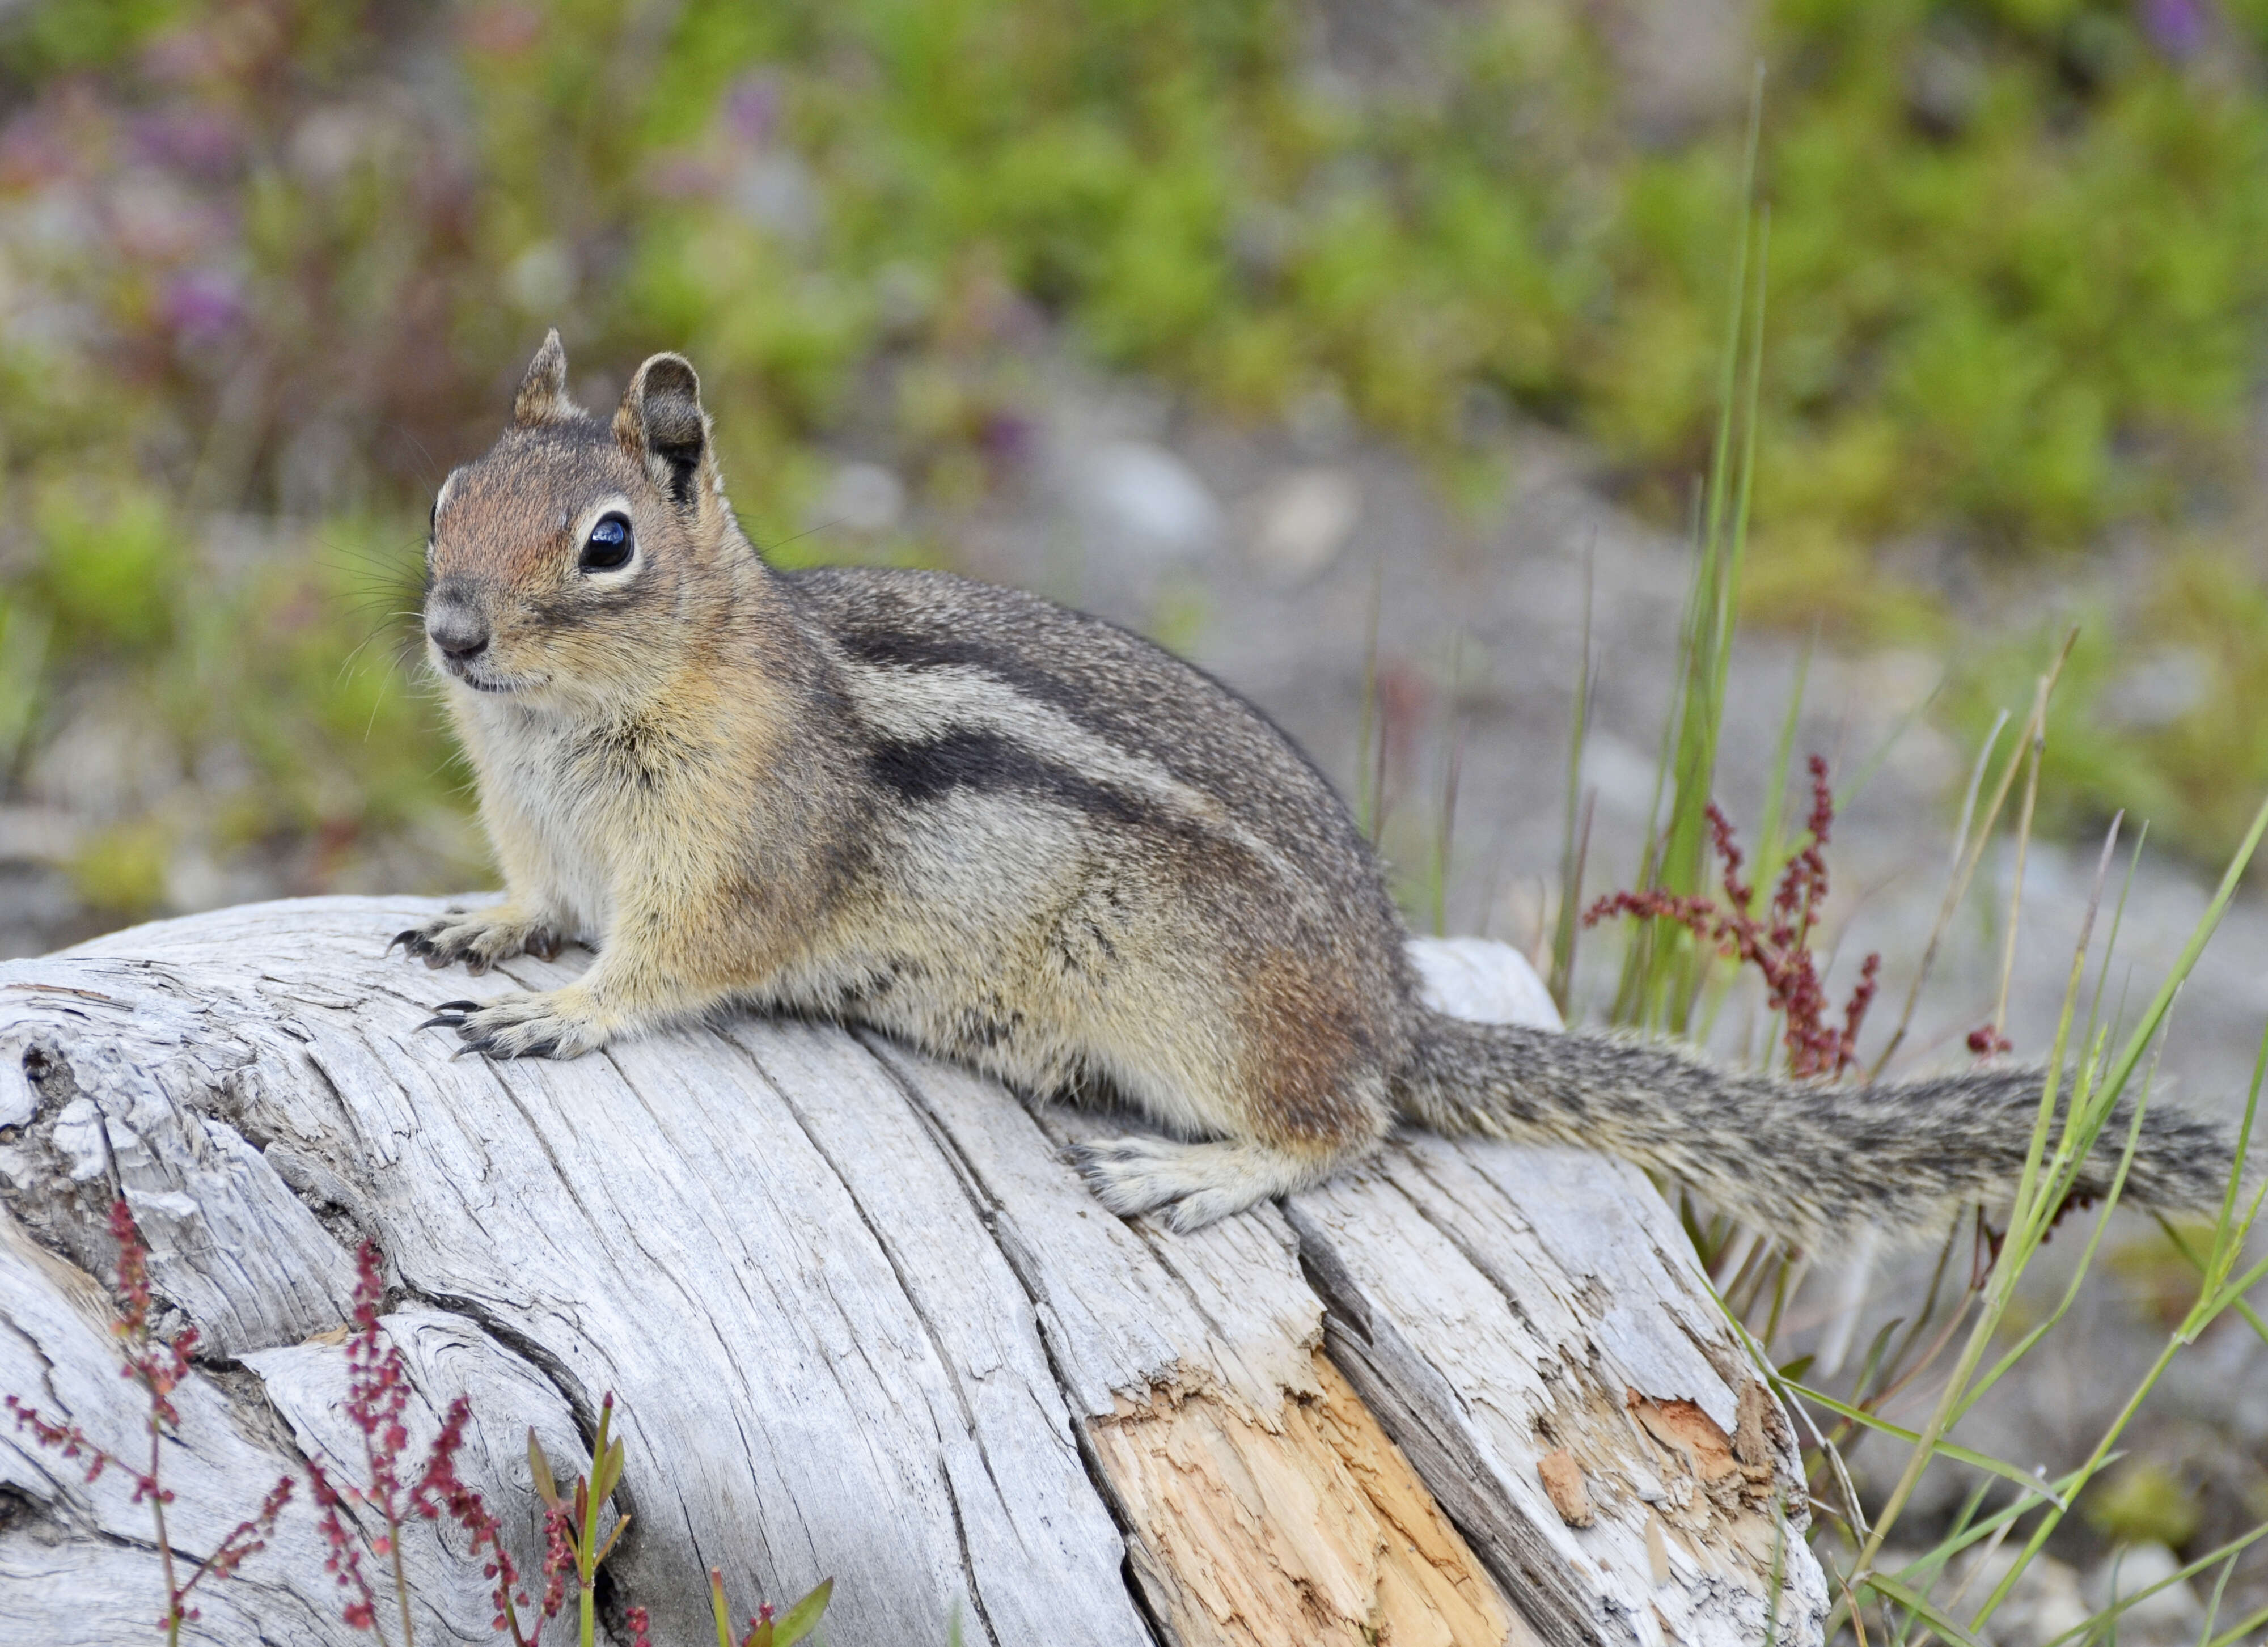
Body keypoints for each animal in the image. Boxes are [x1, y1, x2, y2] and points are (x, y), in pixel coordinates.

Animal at [395, 336, 2232, 1234]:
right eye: (446, 492)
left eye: (606, 544)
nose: (452, 630)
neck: (565, 737)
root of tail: (1393, 1008)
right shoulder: (545, 832)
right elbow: (537, 897)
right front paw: (475, 930)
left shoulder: (737, 854)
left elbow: (672, 962)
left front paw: (562, 1012)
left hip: (1193, 1006)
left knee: (1345, 1126)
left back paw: (1204, 1172)